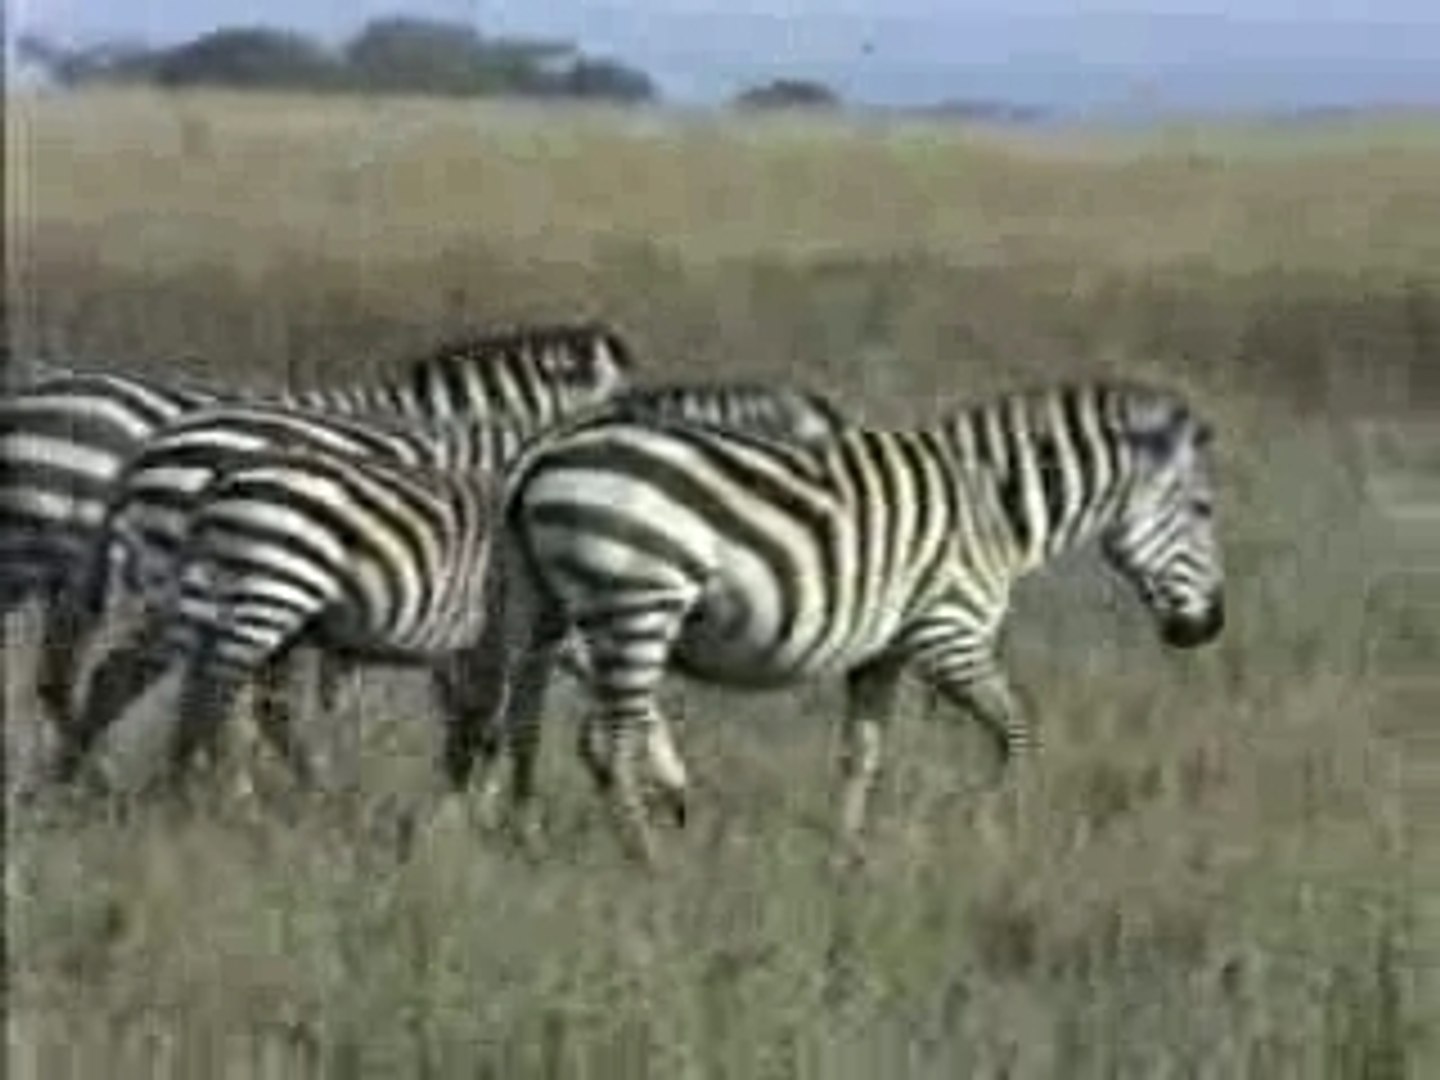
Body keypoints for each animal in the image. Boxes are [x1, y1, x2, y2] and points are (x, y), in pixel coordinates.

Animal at [472, 380, 1226, 864]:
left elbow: (861, 753)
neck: (998, 507)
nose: (1210, 627)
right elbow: (1015, 734)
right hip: (637, 600)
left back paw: (527, 838)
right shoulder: (949, 633)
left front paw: (848, 854)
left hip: (545, 604)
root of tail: (542, 452)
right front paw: (981, 820)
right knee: (613, 738)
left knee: (526, 721)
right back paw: (648, 860)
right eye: (1203, 508)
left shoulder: (882, 652)